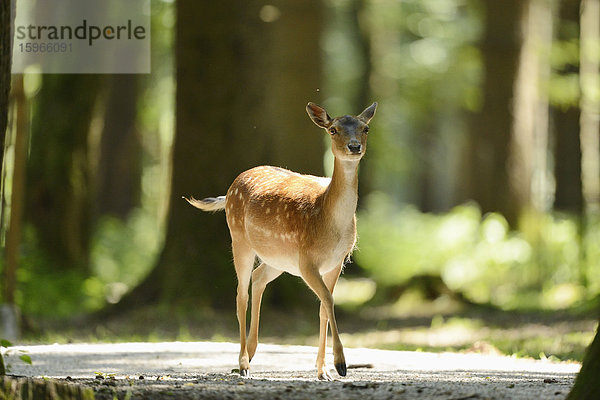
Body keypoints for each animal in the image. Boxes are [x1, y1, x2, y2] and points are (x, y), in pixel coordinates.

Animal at [185, 101, 378, 380]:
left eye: (365, 128)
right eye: (333, 130)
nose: (354, 146)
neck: (328, 224)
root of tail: (229, 191)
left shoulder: (337, 261)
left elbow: (323, 306)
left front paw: (323, 371)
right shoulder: (307, 260)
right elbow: (328, 300)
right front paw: (341, 364)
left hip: (278, 259)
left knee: (259, 278)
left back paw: (251, 352)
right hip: (239, 238)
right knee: (240, 294)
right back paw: (243, 364)